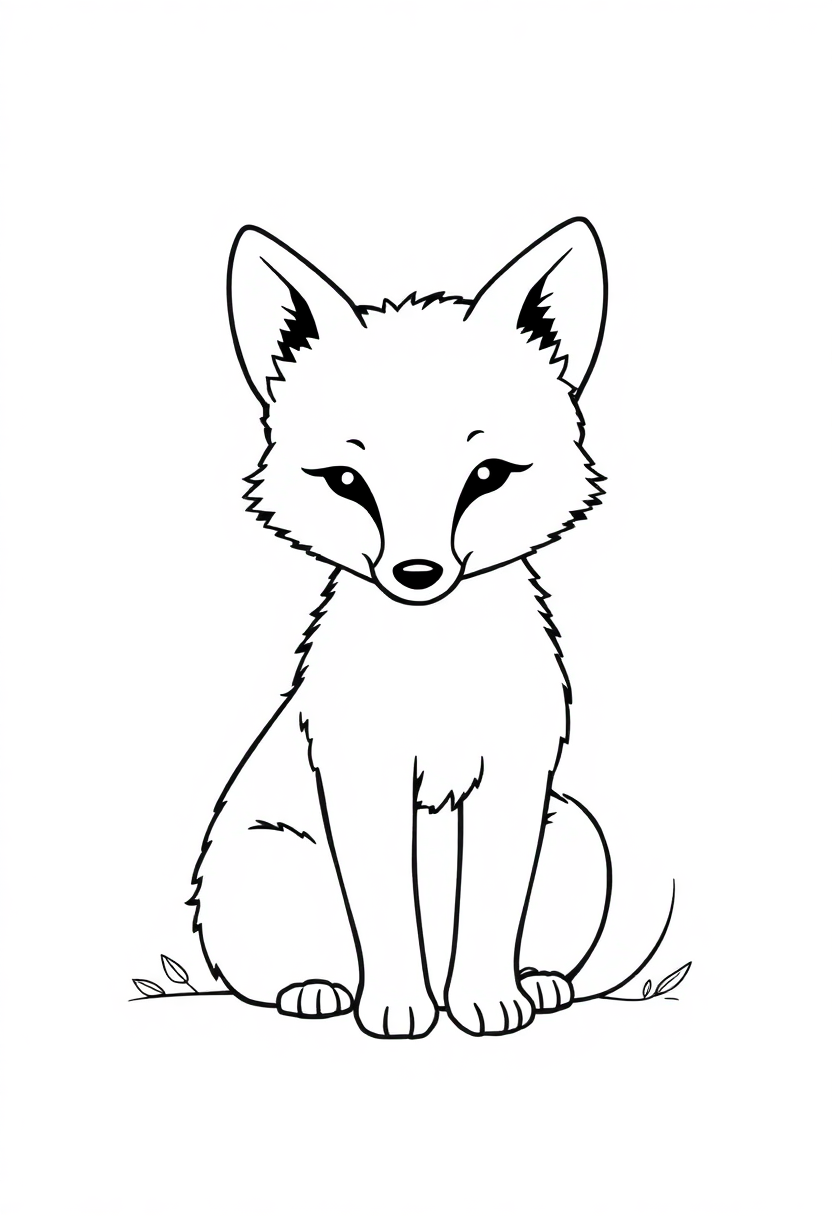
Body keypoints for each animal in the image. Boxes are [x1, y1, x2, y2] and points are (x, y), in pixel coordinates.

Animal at [190, 218, 617, 1038]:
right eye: (346, 482)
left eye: (487, 476)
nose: (417, 575)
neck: (434, 669)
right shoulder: (364, 774)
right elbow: (387, 912)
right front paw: (397, 1008)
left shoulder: (516, 777)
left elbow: (490, 912)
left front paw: (487, 1001)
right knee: (286, 969)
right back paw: (322, 990)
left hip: (571, 830)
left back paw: (539, 982)